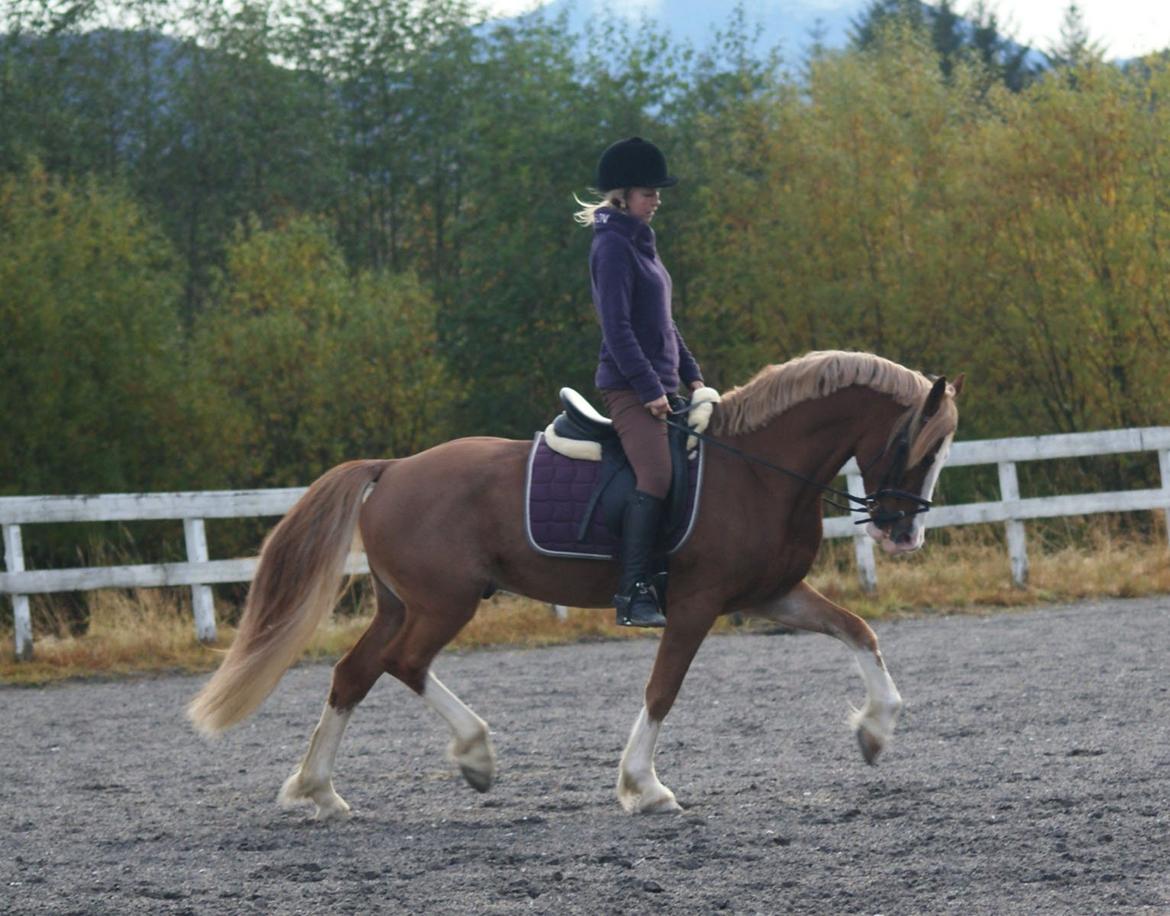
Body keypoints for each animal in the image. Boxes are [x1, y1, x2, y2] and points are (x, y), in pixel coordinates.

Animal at [189, 348, 959, 818]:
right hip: (443, 602)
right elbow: (662, 690)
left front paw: (876, 732)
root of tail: (395, 468)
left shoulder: (770, 595)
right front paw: (644, 787)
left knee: (355, 673)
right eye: (919, 447)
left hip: (400, 603)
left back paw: (316, 792)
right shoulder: (696, 604)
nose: (903, 535)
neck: (756, 468)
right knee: (404, 664)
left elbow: (859, 632)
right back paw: (474, 755)